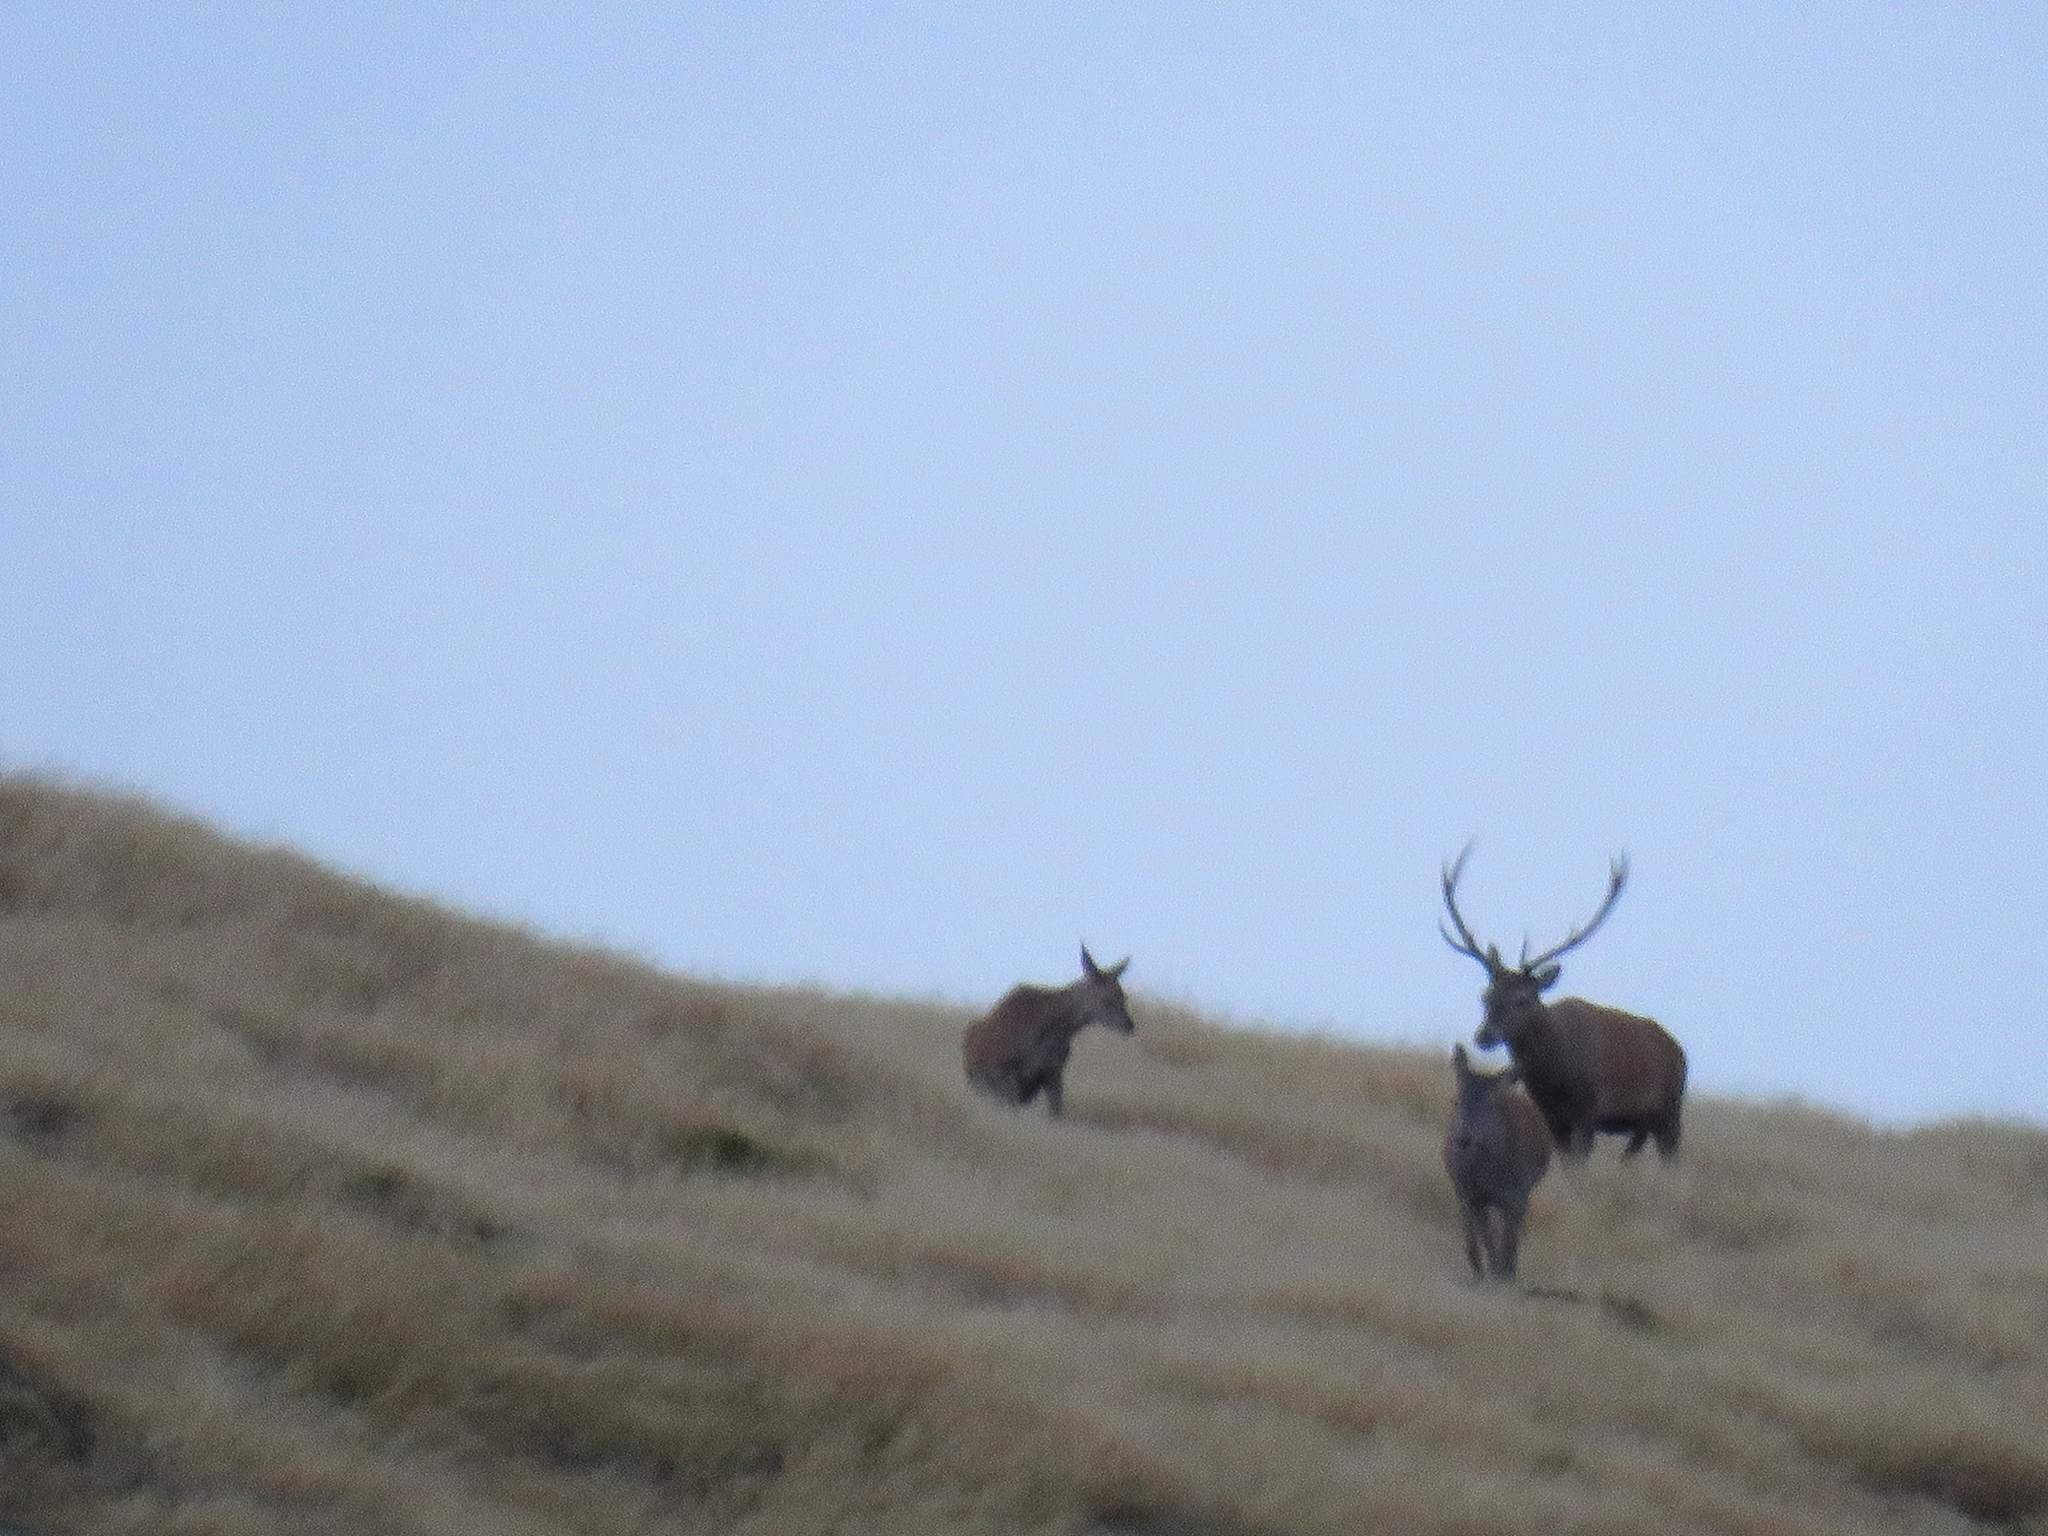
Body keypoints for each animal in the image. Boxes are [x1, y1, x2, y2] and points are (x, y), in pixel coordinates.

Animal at [958, 950, 1138, 1122]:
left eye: (1123, 996)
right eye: (1105, 998)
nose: (1129, 1025)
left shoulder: (1053, 1071)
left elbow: (1056, 1111)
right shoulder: (1007, 1075)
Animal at [1433, 847, 1687, 1163]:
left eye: (1522, 999)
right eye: (1485, 995)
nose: (1485, 1036)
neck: (1554, 1077)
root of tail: (1679, 1050)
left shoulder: (1589, 1111)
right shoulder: (1551, 1117)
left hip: (1671, 1110)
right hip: (1641, 1124)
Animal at [1441, 1048, 1548, 1286]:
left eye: (1491, 1104)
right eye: (1457, 1100)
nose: (1463, 1138)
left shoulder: (1518, 1192)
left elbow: (1509, 1235)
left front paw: (1505, 1273)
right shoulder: (1471, 1193)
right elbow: (1485, 1234)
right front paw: (1487, 1271)